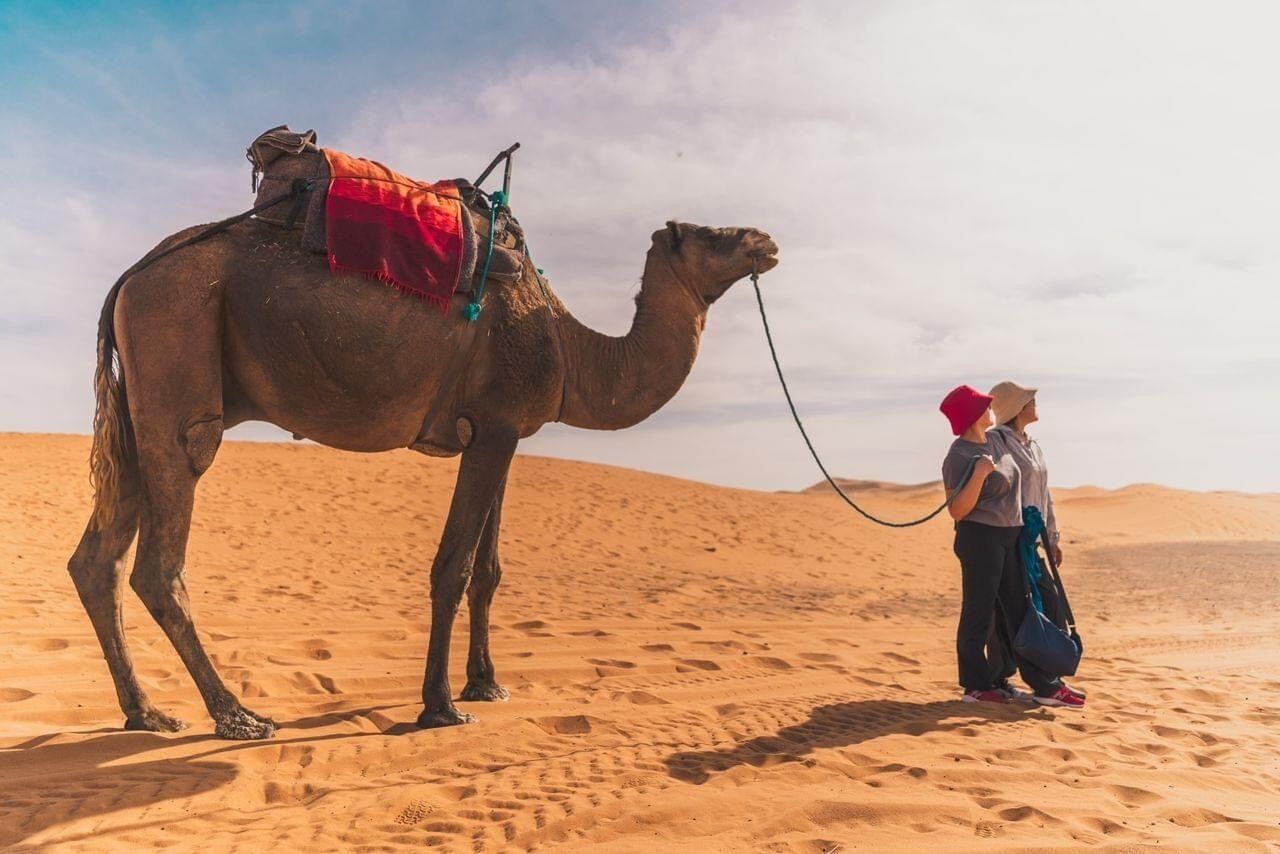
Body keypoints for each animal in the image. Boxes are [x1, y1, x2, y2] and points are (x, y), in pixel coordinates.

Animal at [68, 204, 778, 740]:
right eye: (712, 233)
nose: (765, 240)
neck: (572, 347)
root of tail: (128, 278)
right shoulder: (494, 425)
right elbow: (453, 567)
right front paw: (441, 705)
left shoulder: (501, 432)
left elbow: (489, 571)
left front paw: (487, 683)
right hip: (177, 360)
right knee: (161, 555)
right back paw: (238, 716)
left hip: (137, 407)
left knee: (96, 561)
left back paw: (147, 713)